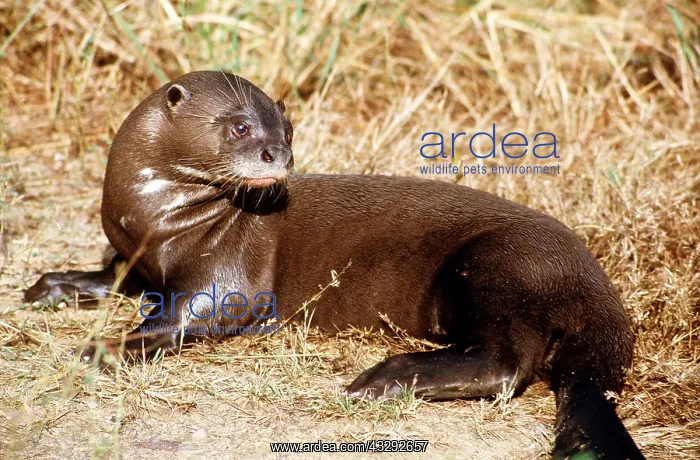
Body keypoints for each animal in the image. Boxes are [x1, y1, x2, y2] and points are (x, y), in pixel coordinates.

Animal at [24, 71, 644, 459]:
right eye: (240, 125)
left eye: (288, 129)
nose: (278, 154)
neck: (152, 216)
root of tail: (594, 286)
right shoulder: (135, 257)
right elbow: (112, 277)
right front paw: (53, 284)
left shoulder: (229, 276)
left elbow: (190, 314)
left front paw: (105, 346)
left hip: (494, 266)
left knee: (507, 363)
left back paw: (383, 378)